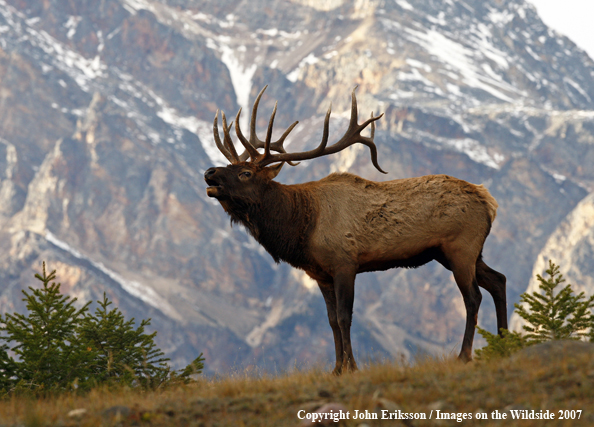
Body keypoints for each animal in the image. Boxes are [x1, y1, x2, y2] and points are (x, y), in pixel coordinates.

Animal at [202, 87, 504, 374]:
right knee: (498, 280)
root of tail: (489, 201)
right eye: (229, 166)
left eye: (246, 173)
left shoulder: (345, 262)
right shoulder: (320, 274)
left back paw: (464, 355)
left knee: (473, 297)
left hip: (461, 247)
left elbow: (345, 317)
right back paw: (503, 342)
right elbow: (332, 321)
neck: (301, 228)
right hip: (460, 252)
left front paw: (353, 367)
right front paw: (336, 369)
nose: (209, 172)